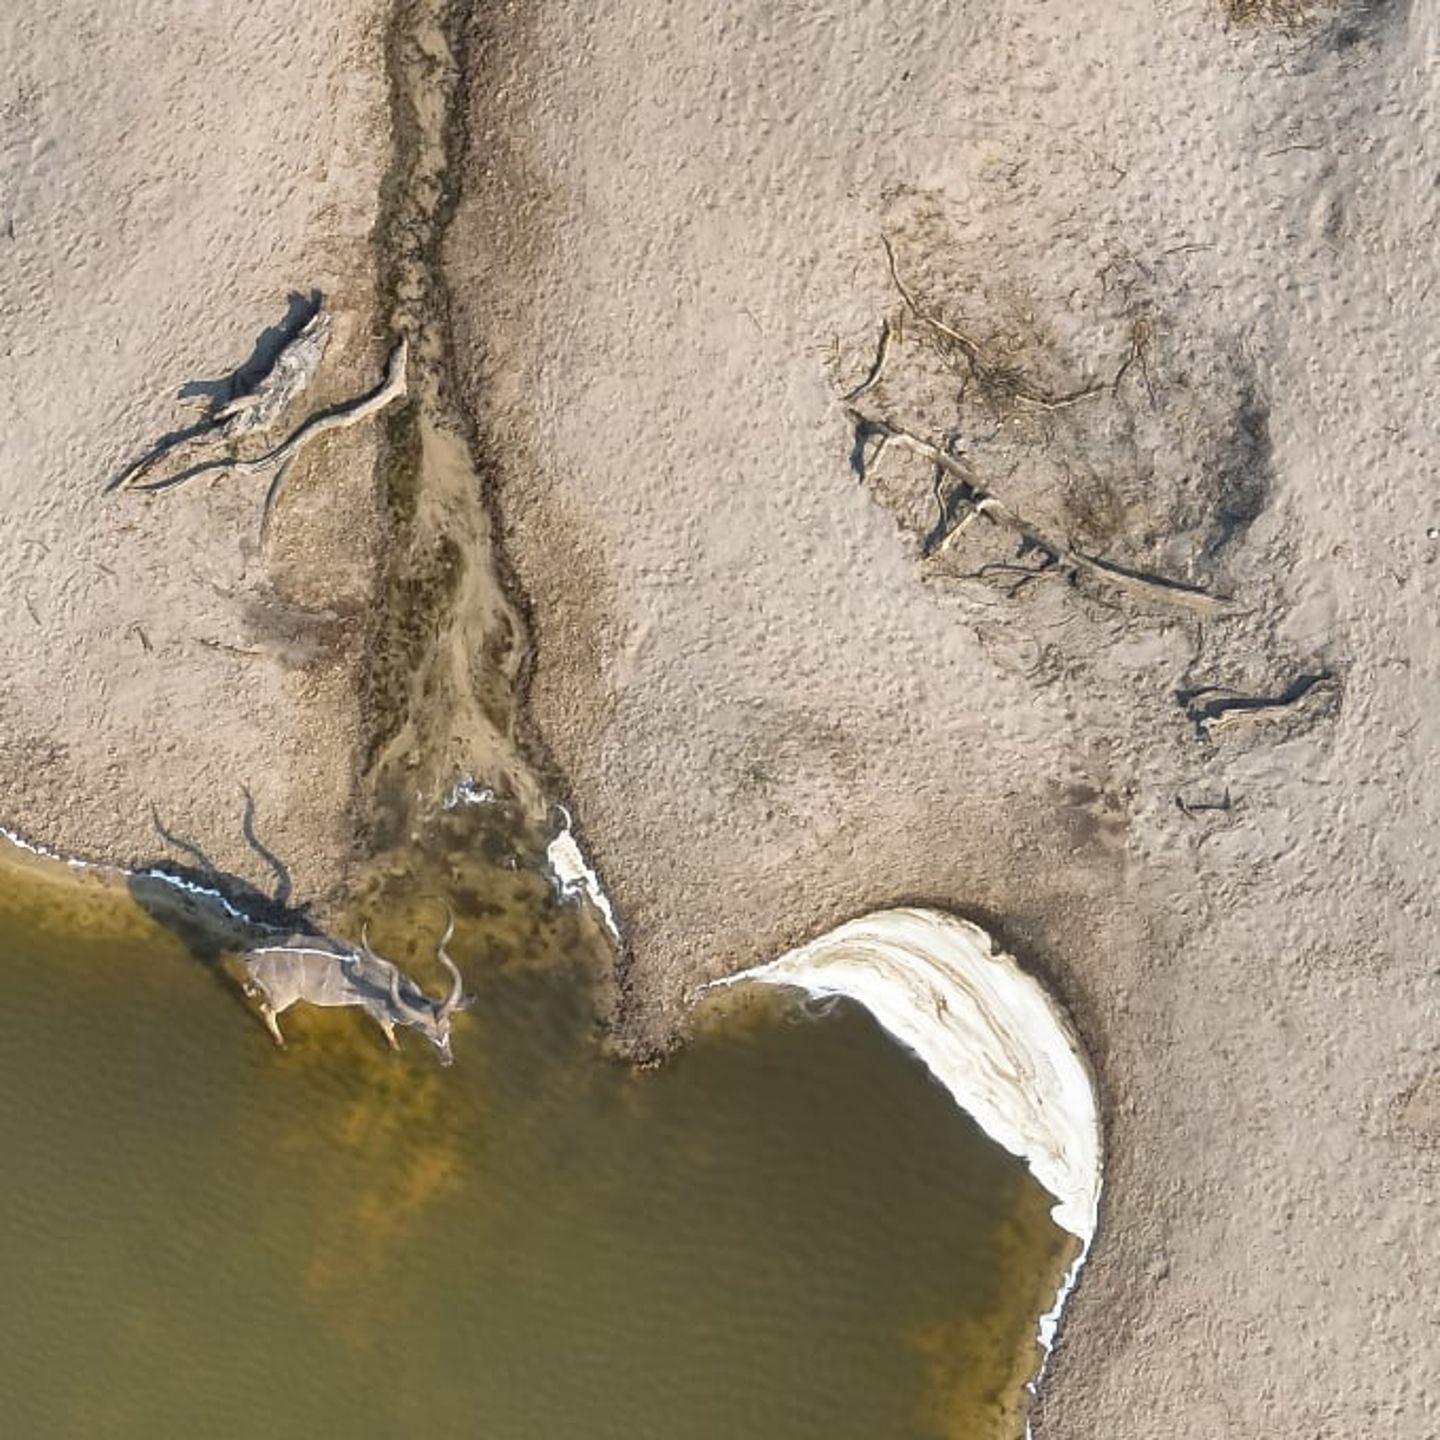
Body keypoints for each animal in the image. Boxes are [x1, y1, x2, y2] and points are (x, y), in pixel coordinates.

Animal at [239, 909, 471, 1065]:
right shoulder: (381, 1017)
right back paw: (282, 1043)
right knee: (266, 1010)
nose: (447, 1060)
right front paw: (398, 1053)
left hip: (262, 985)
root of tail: (252, 956)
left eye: (448, 1030)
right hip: (284, 998)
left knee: (247, 988)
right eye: (429, 1033)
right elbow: (391, 1039)